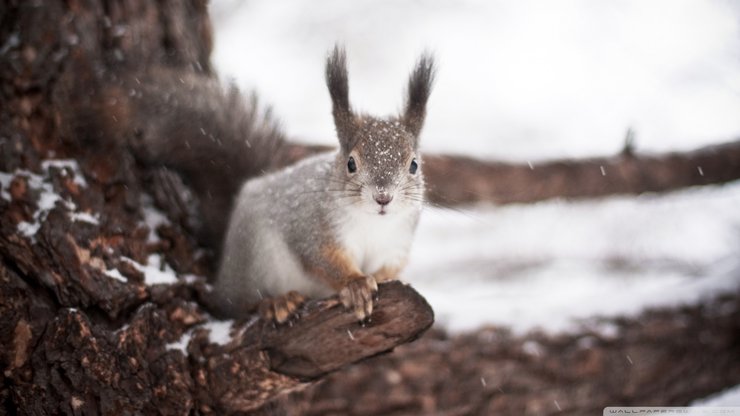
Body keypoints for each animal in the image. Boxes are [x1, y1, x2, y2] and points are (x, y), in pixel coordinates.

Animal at [212, 48, 434, 322]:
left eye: (414, 165)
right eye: (351, 163)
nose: (383, 197)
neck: (373, 223)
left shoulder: (396, 245)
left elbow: (388, 269)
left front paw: (384, 280)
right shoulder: (313, 228)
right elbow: (323, 260)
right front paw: (356, 285)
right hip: (253, 257)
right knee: (237, 304)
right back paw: (275, 302)